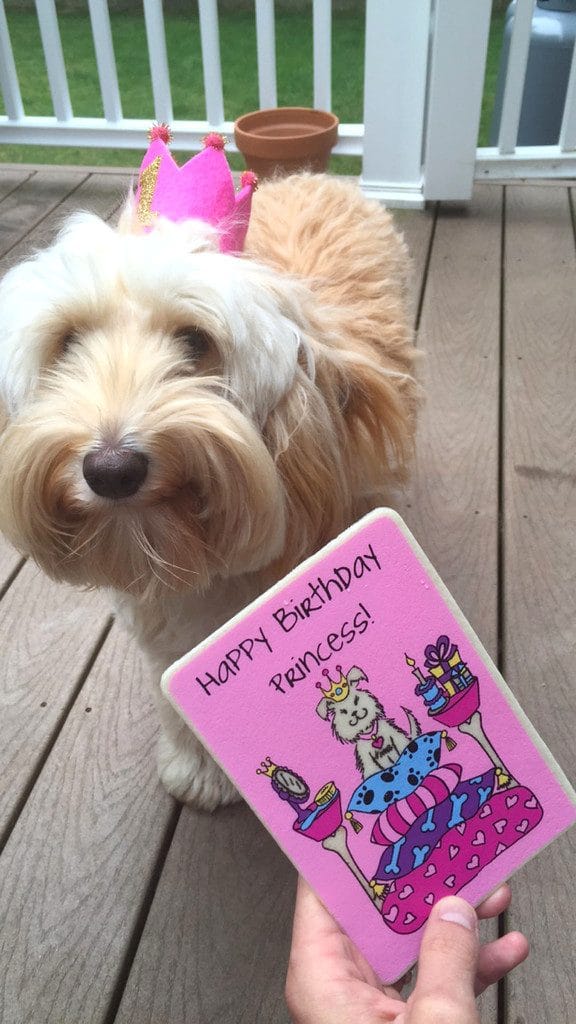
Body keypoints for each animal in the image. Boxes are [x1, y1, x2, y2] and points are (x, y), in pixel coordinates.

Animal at [0, 174, 414, 806]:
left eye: (195, 341)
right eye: (68, 343)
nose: (111, 470)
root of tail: (309, 174)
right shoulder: (168, 640)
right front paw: (200, 763)